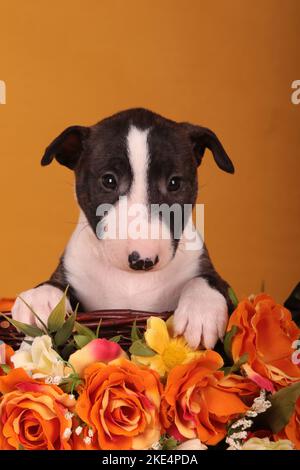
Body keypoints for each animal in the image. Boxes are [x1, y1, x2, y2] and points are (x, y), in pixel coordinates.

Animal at [12, 107, 234, 348]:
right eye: (109, 180)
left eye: (174, 183)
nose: (142, 260)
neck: (131, 281)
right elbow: (55, 284)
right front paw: (40, 301)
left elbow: (208, 281)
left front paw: (200, 311)